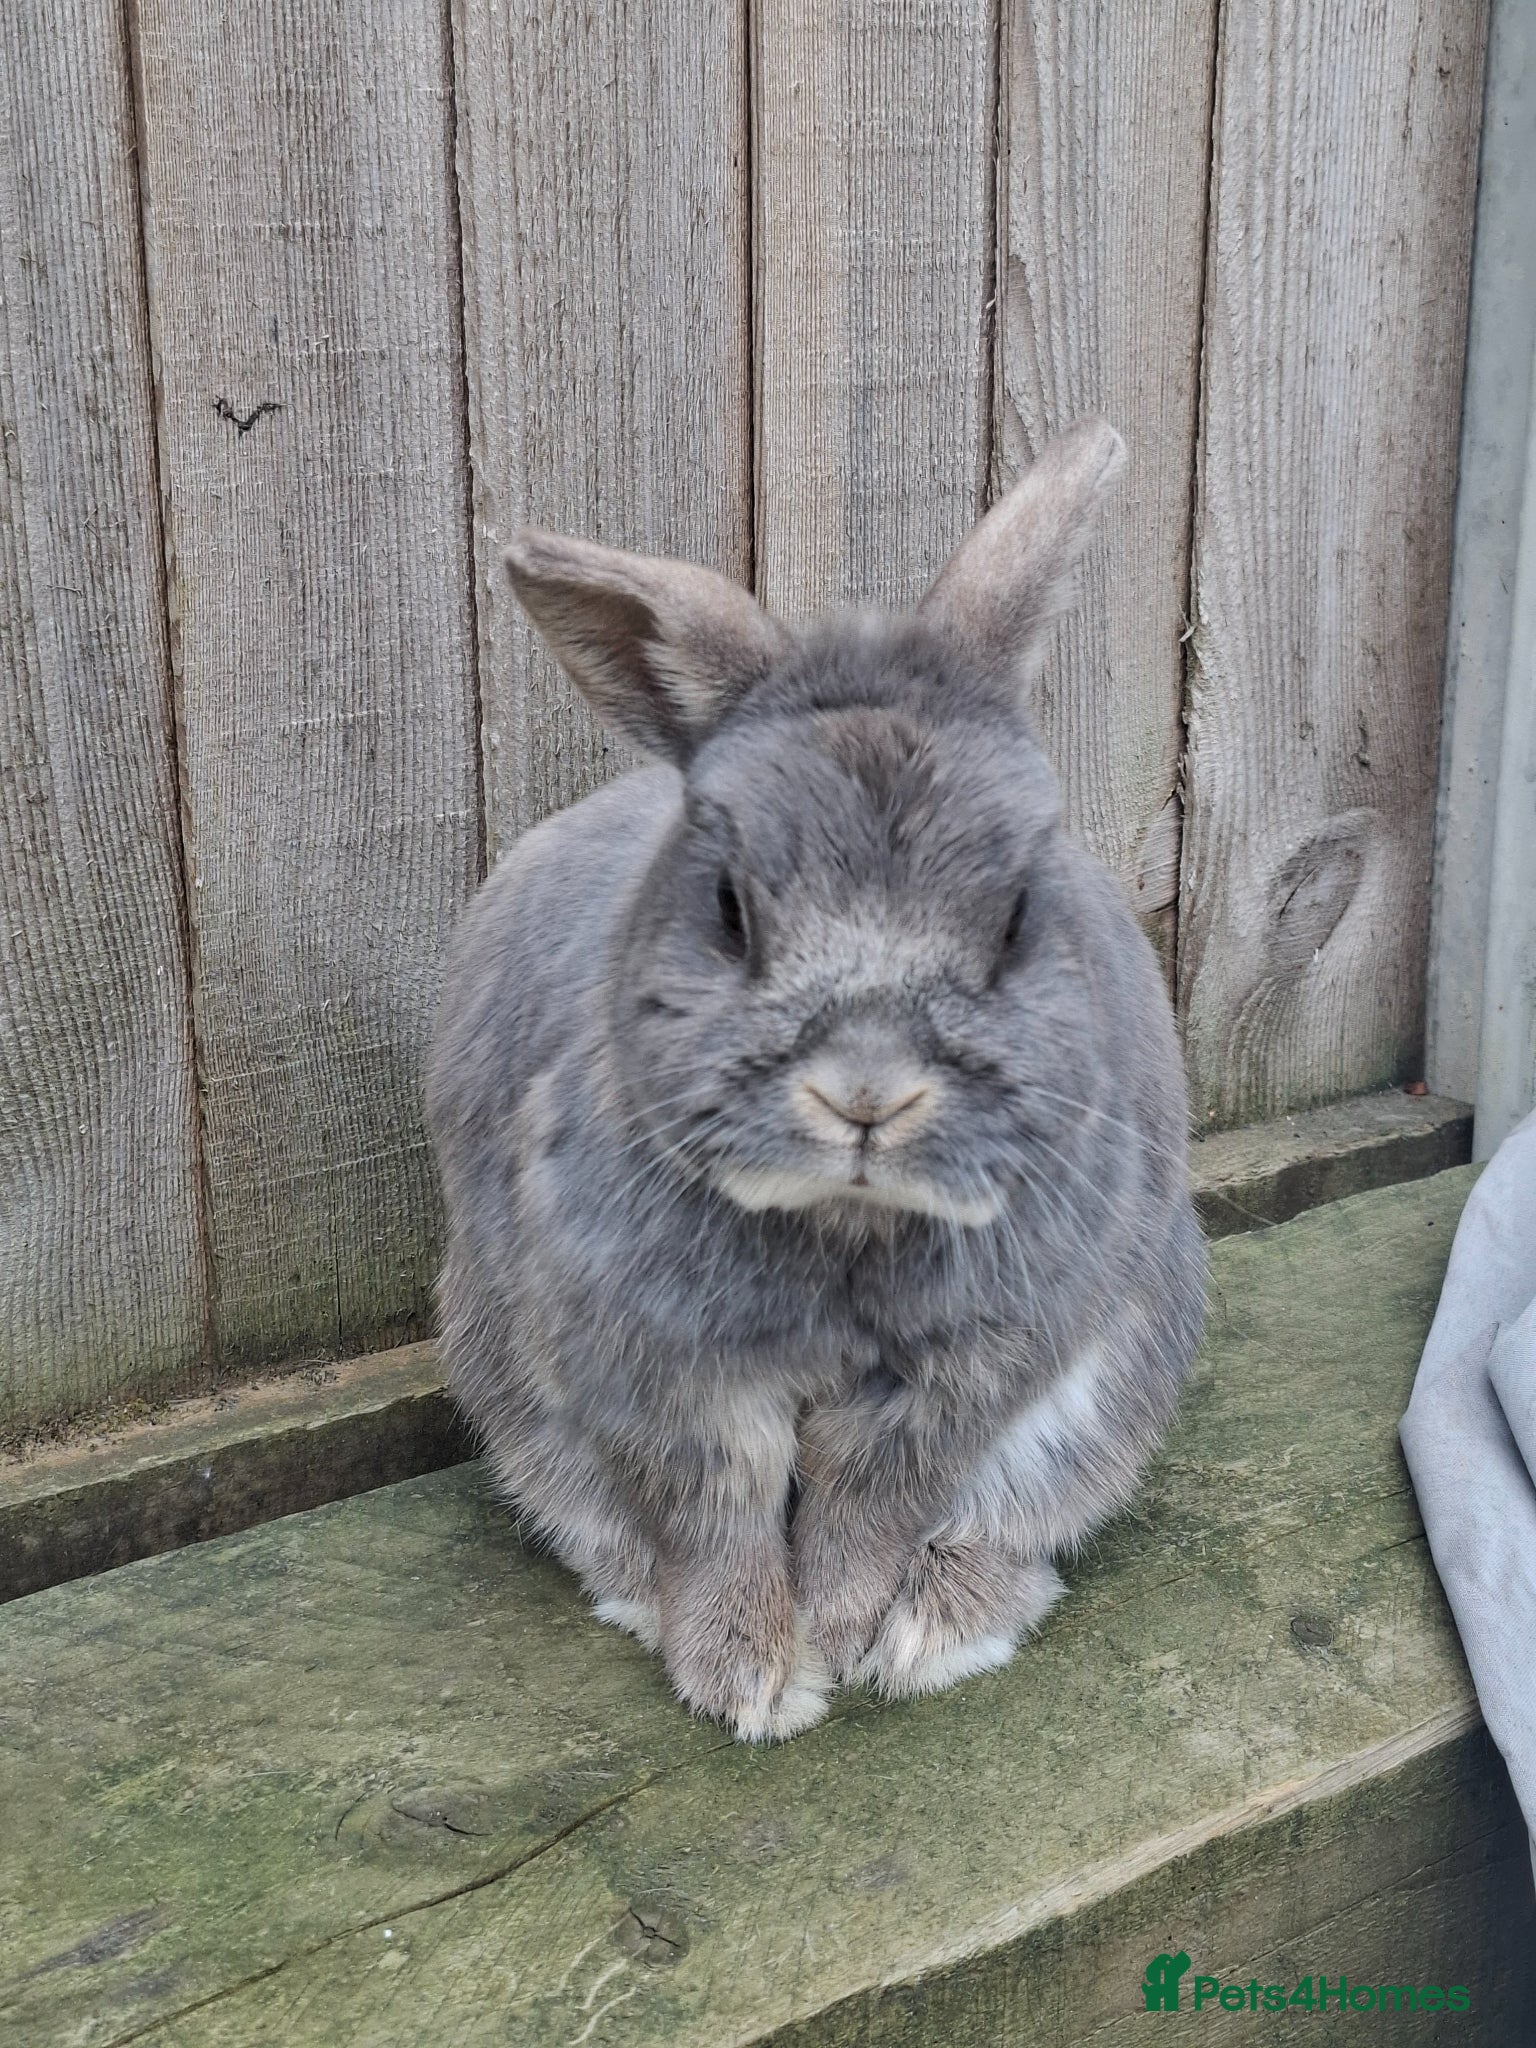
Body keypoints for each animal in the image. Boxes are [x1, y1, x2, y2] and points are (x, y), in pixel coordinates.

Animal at [426, 417, 1205, 1743]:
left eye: (1015, 913)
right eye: (730, 905)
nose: (867, 1094)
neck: (845, 1221)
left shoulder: (963, 1372)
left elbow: (866, 1502)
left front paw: (843, 1637)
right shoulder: (665, 1370)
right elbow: (720, 1513)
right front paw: (754, 1680)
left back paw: (941, 1624)